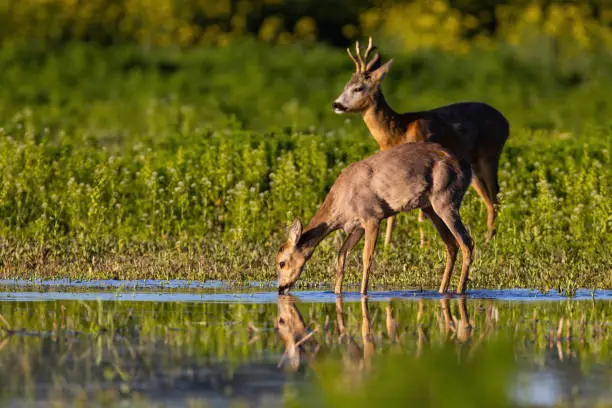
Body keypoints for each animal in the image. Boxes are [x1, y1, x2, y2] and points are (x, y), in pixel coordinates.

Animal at [278, 142, 474, 294]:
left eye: (281, 263)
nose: (280, 288)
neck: (340, 202)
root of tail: (467, 169)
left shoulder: (372, 217)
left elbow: (367, 258)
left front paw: (363, 293)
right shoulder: (356, 227)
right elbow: (342, 255)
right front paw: (337, 292)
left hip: (446, 200)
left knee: (467, 243)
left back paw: (459, 291)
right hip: (429, 207)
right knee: (452, 245)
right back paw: (442, 291)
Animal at [332, 38, 510, 247]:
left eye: (358, 88)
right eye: (346, 85)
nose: (336, 105)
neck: (397, 132)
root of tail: (505, 121)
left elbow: (420, 215)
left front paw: (423, 245)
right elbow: (393, 213)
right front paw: (387, 245)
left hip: (490, 154)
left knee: (495, 196)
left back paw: (490, 238)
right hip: (473, 165)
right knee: (489, 197)